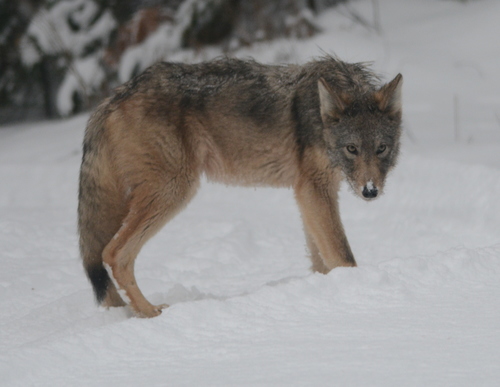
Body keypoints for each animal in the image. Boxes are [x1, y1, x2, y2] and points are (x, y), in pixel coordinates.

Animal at [80, 55, 404, 318]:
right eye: (351, 149)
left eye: (381, 149)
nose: (370, 191)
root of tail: (113, 97)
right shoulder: (315, 188)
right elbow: (343, 256)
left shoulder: (309, 193)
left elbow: (323, 260)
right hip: (174, 191)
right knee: (114, 254)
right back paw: (149, 312)